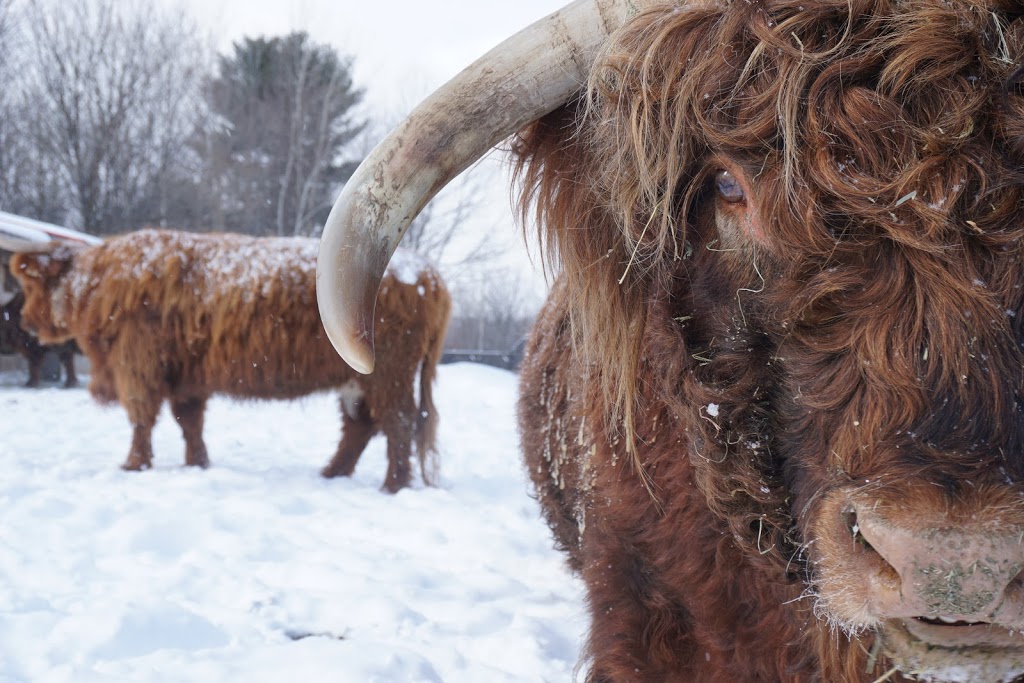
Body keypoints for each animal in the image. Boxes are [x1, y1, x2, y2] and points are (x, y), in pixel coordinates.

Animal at [6, 229, 450, 491]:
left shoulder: (137, 365)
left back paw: (392, 485)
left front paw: (133, 465)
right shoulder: (185, 376)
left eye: (30, 285)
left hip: (389, 372)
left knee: (398, 422)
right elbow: (189, 422)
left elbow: (141, 419)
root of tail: (429, 274)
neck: (98, 285)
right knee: (361, 427)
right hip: (357, 379)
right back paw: (330, 474)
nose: (23, 321)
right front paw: (197, 465)